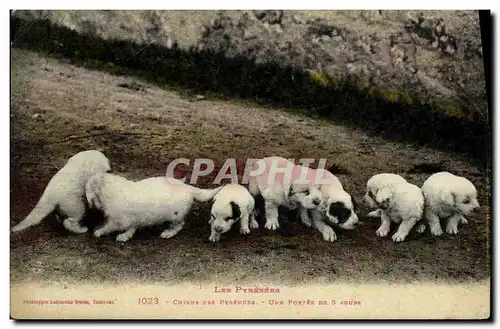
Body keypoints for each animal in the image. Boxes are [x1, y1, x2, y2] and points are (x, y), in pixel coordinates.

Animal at [85, 172, 222, 241]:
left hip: (175, 216)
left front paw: (99, 232)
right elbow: (132, 228)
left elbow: (109, 227)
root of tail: (189, 188)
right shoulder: (132, 220)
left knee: (179, 225)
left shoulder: (118, 221)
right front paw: (125, 237)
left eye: (87, 188)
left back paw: (167, 233)